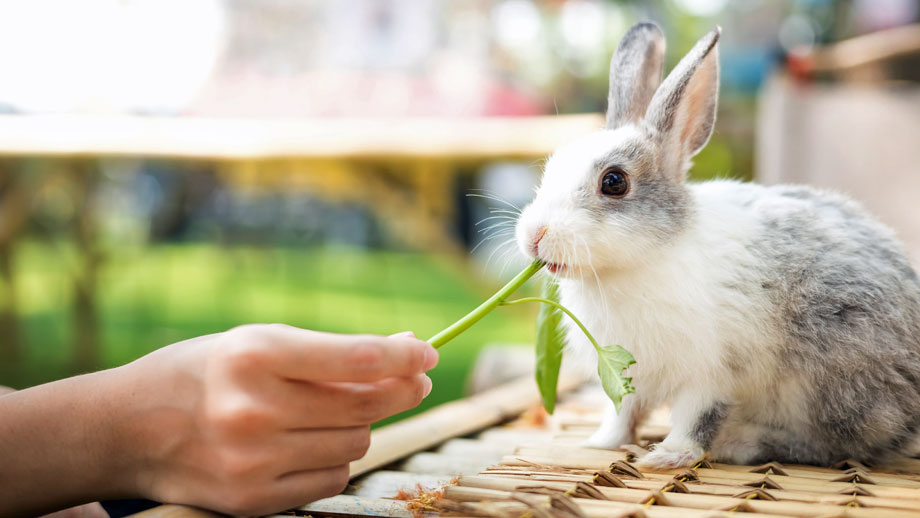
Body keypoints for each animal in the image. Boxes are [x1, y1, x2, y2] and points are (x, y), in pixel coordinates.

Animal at [514, 22, 920, 469]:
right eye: (551, 167)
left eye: (614, 182)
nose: (534, 236)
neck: (642, 262)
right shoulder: (628, 377)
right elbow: (622, 414)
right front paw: (600, 444)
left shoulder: (710, 374)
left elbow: (696, 419)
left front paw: (667, 457)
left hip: (826, 383)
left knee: (836, 446)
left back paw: (740, 443)